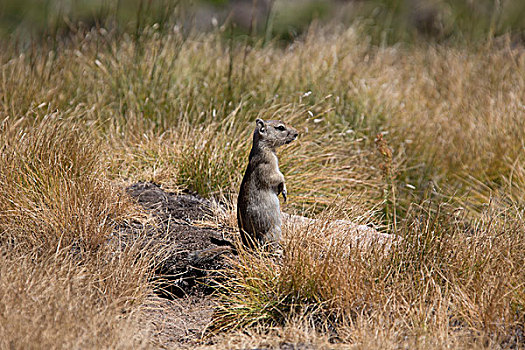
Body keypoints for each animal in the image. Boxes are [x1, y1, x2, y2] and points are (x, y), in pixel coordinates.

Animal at [238, 119, 298, 250]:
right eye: (280, 128)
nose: (297, 133)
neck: (264, 147)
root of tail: (248, 245)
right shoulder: (269, 166)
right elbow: (279, 177)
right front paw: (284, 191)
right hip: (275, 231)